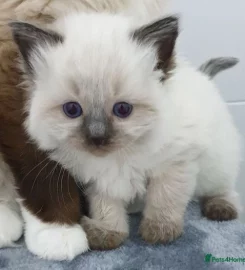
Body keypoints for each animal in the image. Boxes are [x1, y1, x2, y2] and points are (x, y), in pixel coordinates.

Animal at [10, 13, 241, 253]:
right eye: (72, 110)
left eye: (123, 109)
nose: (97, 137)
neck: (118, 158)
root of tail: (201, 75)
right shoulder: (99, 181)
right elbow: (108, 210)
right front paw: (108, 234)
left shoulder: (174, 164)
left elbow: (164, 199)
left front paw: (159, 231)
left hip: (217, 166)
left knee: (225, 190)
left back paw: (220, 208)